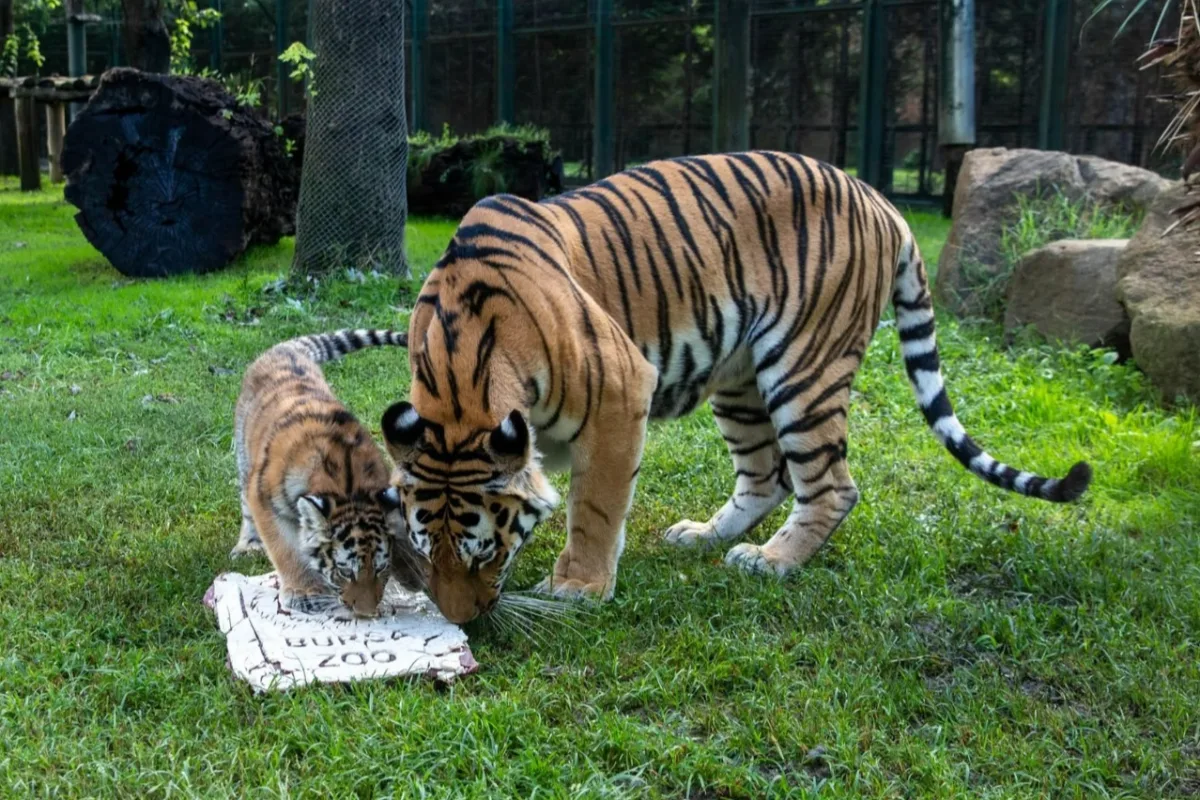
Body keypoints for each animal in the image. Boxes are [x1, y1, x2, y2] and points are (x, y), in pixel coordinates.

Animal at [233, 329, 425, 616]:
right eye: (344, 571)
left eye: (381, 568)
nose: (366, 613)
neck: (348, 486)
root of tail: (283, 350)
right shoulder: (264, 500)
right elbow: (285, 549)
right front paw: (304, 593)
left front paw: (413, 573)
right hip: (245, 464)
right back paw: (249, 545)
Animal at [380, 151, 1092, 625]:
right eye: (427, 548)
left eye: (485, 551)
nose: (464, 622)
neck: (459, 374)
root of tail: (881, 198)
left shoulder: (621, 392)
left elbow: (596, 507)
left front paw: (579, 586)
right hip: (740, 379)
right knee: (765, 477)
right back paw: (703, 536)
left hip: (804, 368)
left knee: (831, 485)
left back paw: (773, 560)